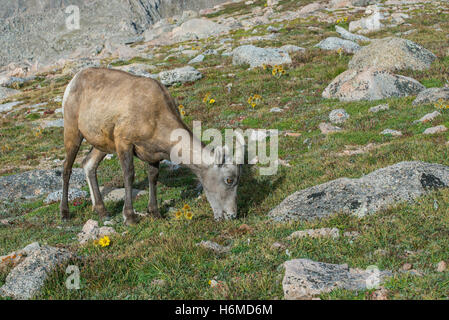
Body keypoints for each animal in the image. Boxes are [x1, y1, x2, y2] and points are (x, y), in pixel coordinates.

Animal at [61, 68, 243, 225]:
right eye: (229, 179)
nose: (231, 215)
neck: (155, 115)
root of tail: (74, 80)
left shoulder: (153, 154)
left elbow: (153, 177)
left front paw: (155, 213)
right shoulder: (124, 142)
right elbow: (129, 175)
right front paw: (130, 217)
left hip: (103, 143)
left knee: (89, 164)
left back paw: (101, 211)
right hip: (73, 130)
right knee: (67, 168)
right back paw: (65, 213)